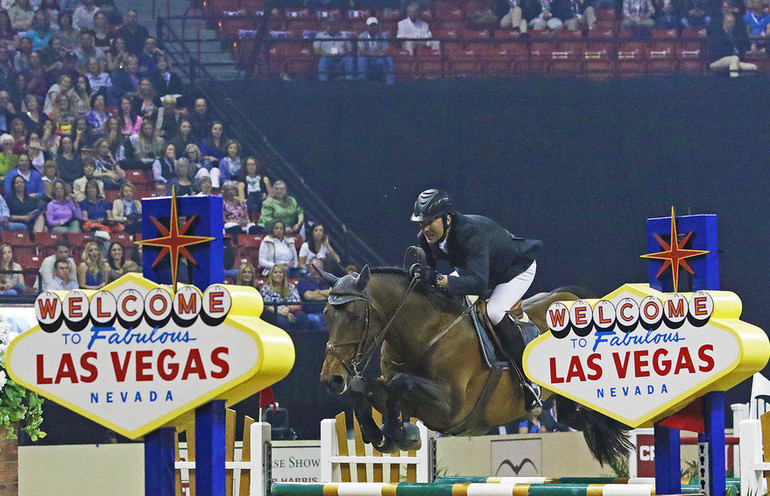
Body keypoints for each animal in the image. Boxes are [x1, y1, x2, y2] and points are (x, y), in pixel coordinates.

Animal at [318, 266, 632, 466]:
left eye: (355, 315)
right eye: (326, 314)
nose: (331, 379)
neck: (425, 332)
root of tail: (576, 299)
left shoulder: (451, 409)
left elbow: (399, 384)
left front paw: (399, 434)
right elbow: (364, 390)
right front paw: (379, 434)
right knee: (576, 418)